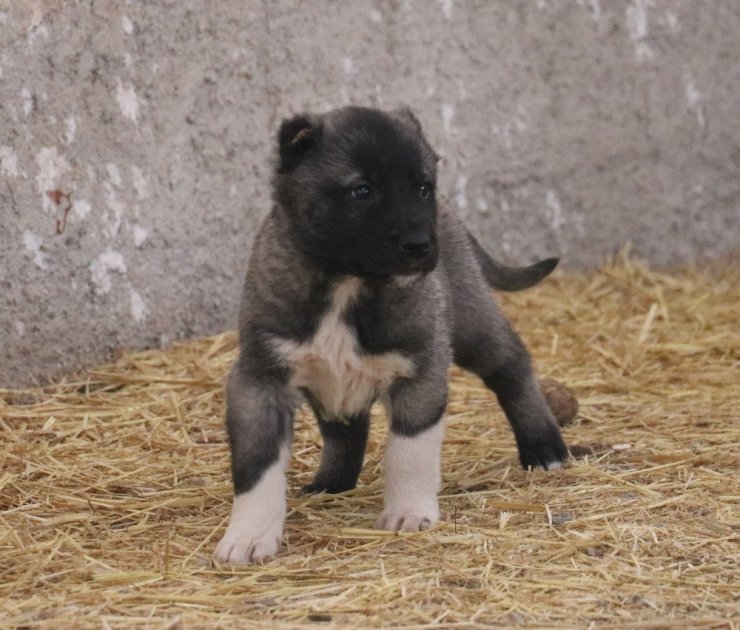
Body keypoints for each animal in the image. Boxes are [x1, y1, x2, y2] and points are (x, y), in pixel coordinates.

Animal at [214, 106, 568, 564]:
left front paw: (408, 512)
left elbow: (409, 450)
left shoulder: (420, 371)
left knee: (512, 367)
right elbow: (257, 467)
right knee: (347, 429)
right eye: (361, 190)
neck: (346, 285)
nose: (420, 244)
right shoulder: (260, 381)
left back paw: (543, 447)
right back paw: (331, 482)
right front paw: (249, 535)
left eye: (423, 188)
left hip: (473, 321)